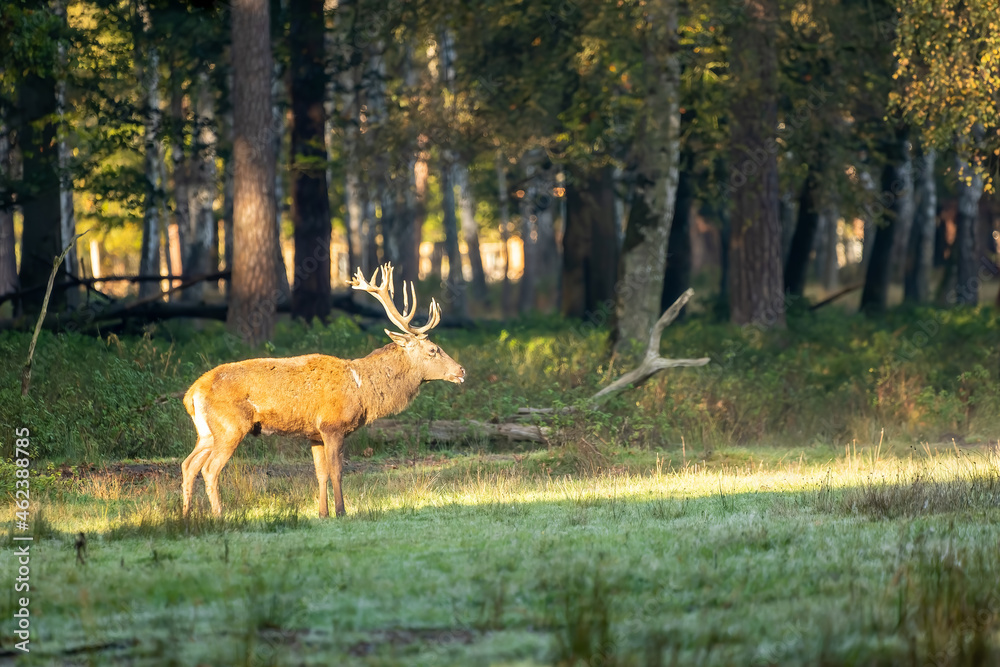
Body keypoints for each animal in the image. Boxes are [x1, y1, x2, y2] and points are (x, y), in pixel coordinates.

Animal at [181, 263, 465, 518]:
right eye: (433, 350)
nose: (461, 370)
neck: (363, 391)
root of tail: (191, 394)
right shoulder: (333, 426)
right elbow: (337, 470)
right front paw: (341, 511)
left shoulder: (314, 434)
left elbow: (320, 473)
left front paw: (322, 513)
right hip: (230, 426)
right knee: (210, 469)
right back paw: (218, 515)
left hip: (207, 432)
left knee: (188, 464)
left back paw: (186, 514)